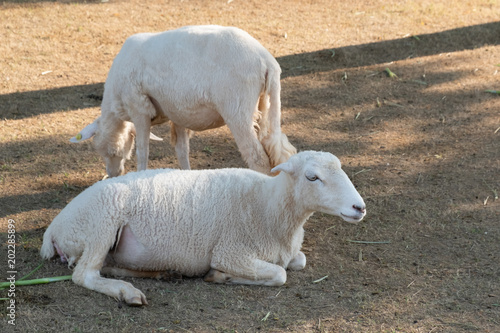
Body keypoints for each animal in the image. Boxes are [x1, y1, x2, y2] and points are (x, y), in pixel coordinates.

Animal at [40, 150, 368, 304]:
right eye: (312, 177)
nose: (359, 207)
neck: (268, 205)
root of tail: (53, 229)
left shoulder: (287, 251)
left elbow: (298, 262)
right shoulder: (231, 252)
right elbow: (280, 274)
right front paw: (220, 277)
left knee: (105, 267)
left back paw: (162, 274)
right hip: (102, 223)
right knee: (84, 274)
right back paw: (127, 292)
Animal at [71, 24, 296, 176]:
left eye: (102, 150)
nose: (113, 174)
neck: (115, 109)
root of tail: (267, 60)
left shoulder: (139, 108)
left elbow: (143, 151)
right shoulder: (177, 114)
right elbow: (181, 151)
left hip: (237, 110)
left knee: (258, 159)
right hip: (264, 105)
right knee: (276, 151)